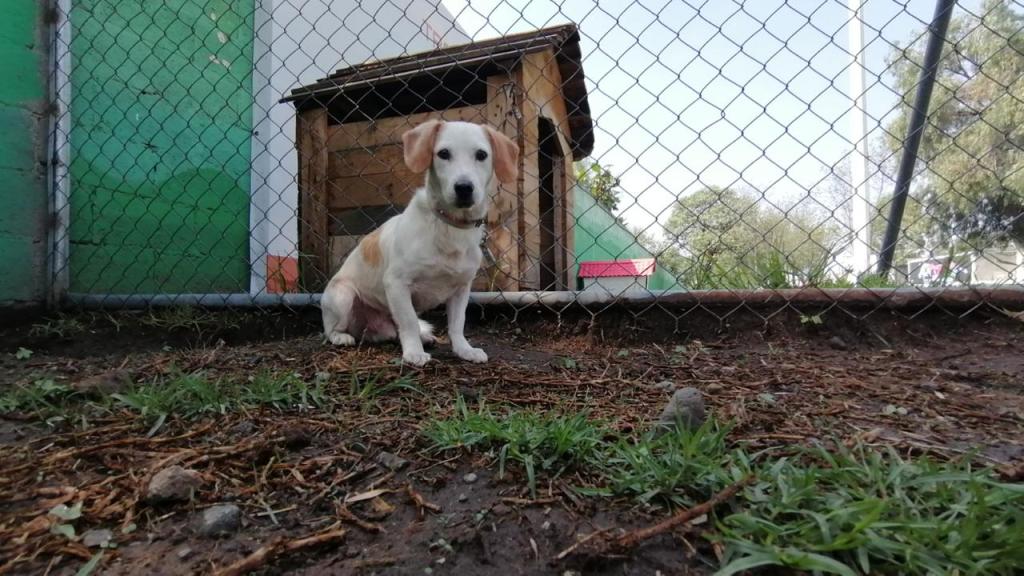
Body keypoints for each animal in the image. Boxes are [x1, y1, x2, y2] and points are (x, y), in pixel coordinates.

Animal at [319, 118, 520, 364]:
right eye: (443, 153)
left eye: (481, 155)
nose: (464, 188)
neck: (449, 227)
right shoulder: (396, 283)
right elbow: (409, 322)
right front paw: (414, 352)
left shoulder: (461, 289)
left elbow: (457, 325)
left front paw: (464, 349)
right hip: (343, 295)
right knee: (331, 329)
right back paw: (341, 337)